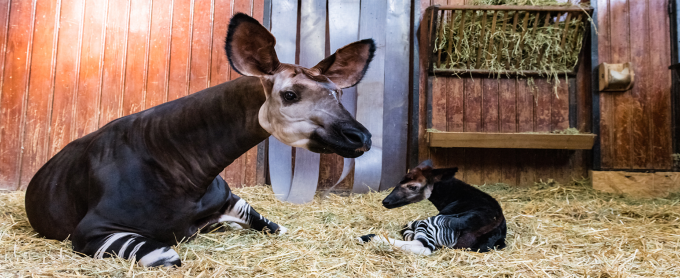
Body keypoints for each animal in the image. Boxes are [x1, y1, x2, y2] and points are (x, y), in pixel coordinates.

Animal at [26, 14, 374, 268]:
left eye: (339, 94)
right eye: (290, 95)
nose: (362, 137)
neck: (187, 174)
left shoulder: (230, 200)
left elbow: (273, 225)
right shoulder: (95, 230)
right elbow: (168, 254)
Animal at [358, 161, 508, 254]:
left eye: (413, 187)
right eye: (399, 182)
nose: (386, 201)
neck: (455, 194)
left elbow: (408, 226)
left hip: (430, 223)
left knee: (424, 246)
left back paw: (367, 237)